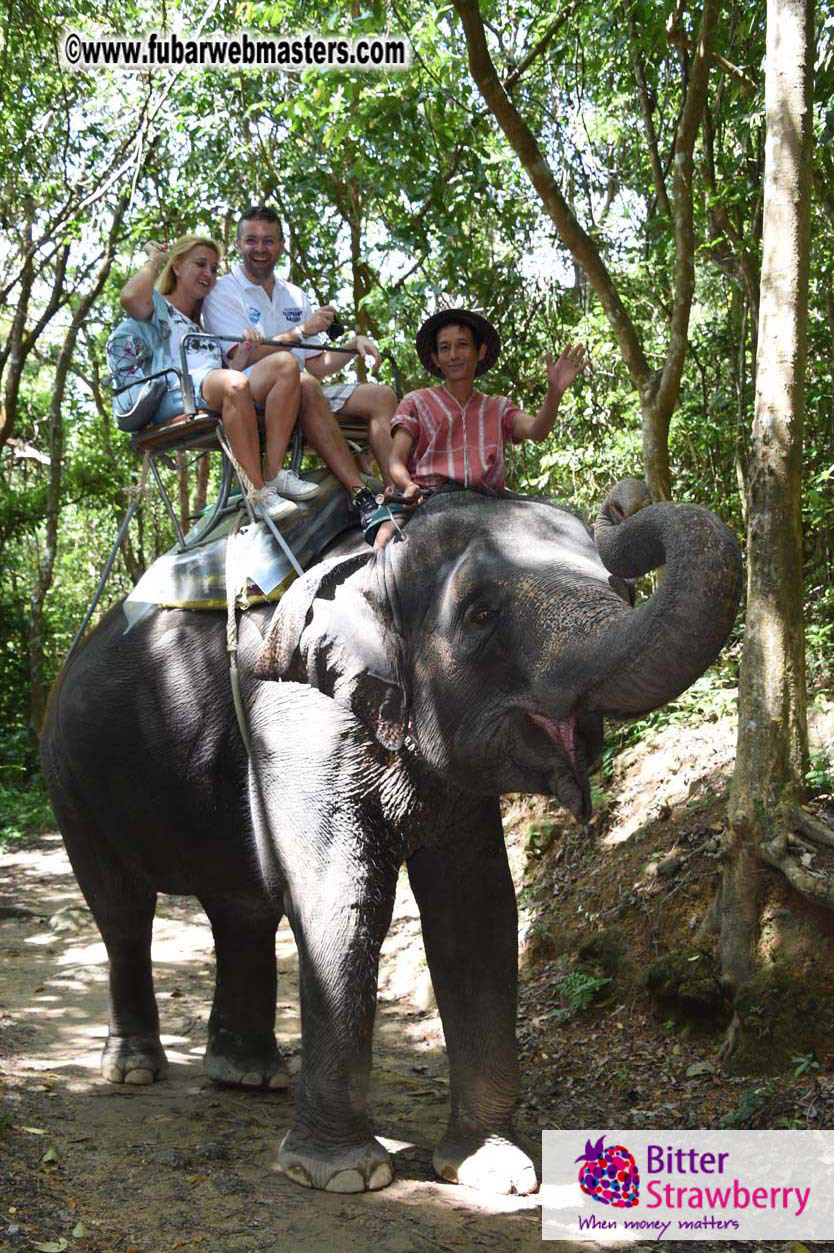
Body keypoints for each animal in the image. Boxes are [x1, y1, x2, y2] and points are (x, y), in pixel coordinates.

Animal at [40, 479, 742, 1196]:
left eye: (623, 591)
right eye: (482, 615)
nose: (625, 501)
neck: (377, 559)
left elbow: (477, 910)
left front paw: (493, 1173)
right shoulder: (296, 715)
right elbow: (342, 902)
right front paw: (343, 1175)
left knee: (241, 911)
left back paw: (250, 1076)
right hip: (68, 778)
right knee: (122, 912)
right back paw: (134, 1069)